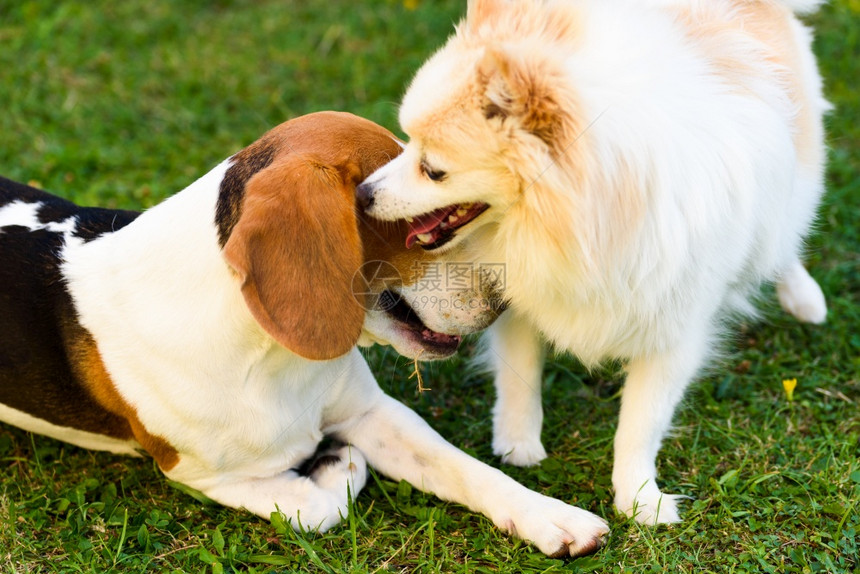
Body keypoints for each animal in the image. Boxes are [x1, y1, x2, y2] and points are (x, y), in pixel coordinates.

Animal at [360, 0, 828, 528]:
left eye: (433, 170)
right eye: (406, 142)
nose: (363, 194)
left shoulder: (674, 328)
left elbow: (641, 420)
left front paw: (640, 497)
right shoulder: (522, 284)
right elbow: (520, 368)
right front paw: (518, 442)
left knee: (781, 239)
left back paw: (803, 296)